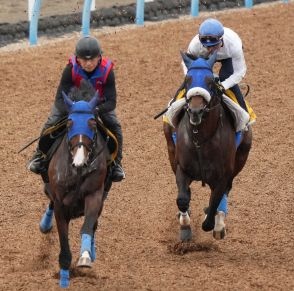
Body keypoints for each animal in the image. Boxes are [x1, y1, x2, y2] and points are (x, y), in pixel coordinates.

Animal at [38, 85, 112, 288]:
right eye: (69, 123)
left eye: (92, 123)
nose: (79, 160)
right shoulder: (61, 204)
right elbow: (63, 240)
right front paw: (64, 277)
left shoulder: (94, 195)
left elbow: (88, 226)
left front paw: (85, 257)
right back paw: (45, 224)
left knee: (94, 224)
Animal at [163, 53, 253, 243]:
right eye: (187, 80)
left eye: (211, 82)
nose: (196, 111)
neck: (201, 139)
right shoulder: (182, 167)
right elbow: (182, 198)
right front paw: (185, 225)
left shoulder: (223, 175)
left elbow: (213, 205)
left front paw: (214, 223)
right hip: (170, 150)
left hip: (242, 156)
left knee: (225, 192)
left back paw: (219, 223)